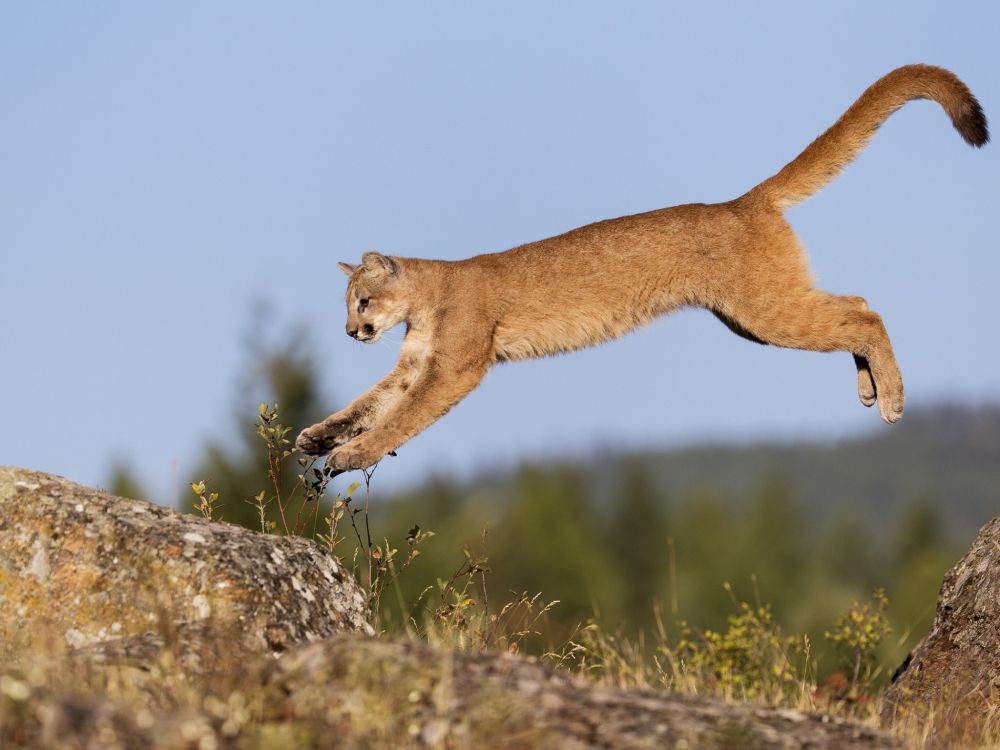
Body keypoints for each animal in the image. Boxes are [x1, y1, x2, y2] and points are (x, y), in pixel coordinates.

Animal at [294, 67, 984, 472]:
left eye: (361, 302)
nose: (351, 332)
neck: (427, 298)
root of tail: (743, 201)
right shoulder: (415, 363)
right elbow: (370, 402)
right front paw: (320, 436)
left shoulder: (454, 366)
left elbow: (400, 418)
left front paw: (350, 456)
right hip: (751, 317)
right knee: (857, 302)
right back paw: (869, 388)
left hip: (764, 310)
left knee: (867, 312)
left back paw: (891, 399)